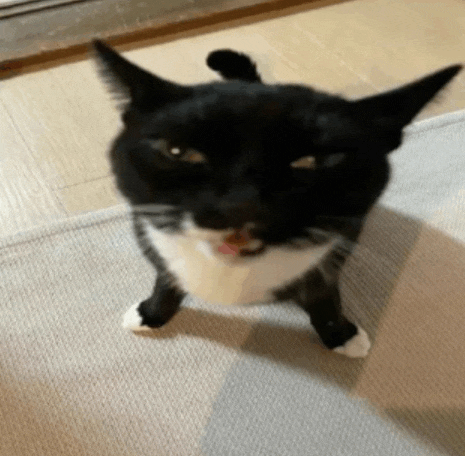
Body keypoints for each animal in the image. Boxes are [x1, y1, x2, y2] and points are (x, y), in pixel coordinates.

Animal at [91, 39, 460, 358]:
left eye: (312, 161)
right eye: (179, 152)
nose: (239, 205)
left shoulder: (328, 260)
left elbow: (324, 297)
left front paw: (341, 335)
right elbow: (165, 281)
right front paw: (152, 313)